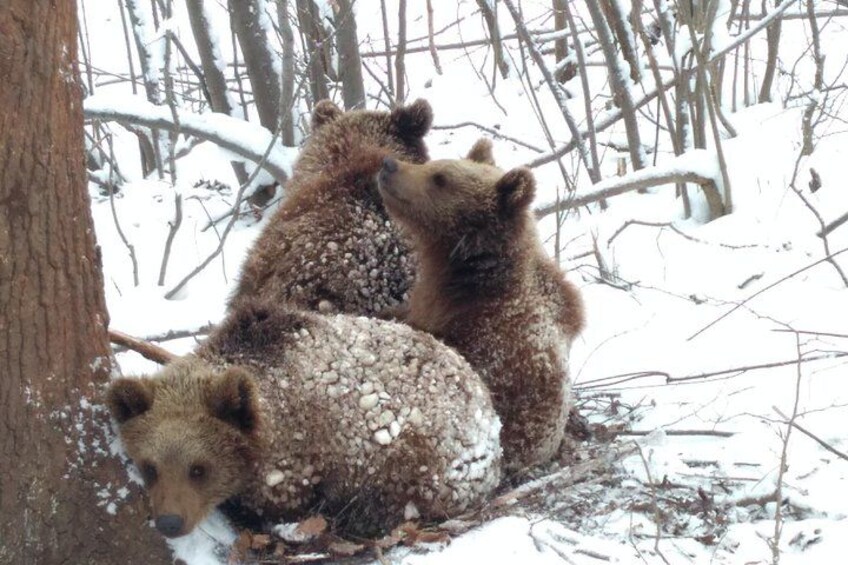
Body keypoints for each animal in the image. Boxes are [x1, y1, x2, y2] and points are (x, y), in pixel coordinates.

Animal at [106, 297, 501, 538]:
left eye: (199, 468)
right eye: (150, 467)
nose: (170, 522)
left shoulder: (296, 457)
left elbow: (282, 503)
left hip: (421, 459)